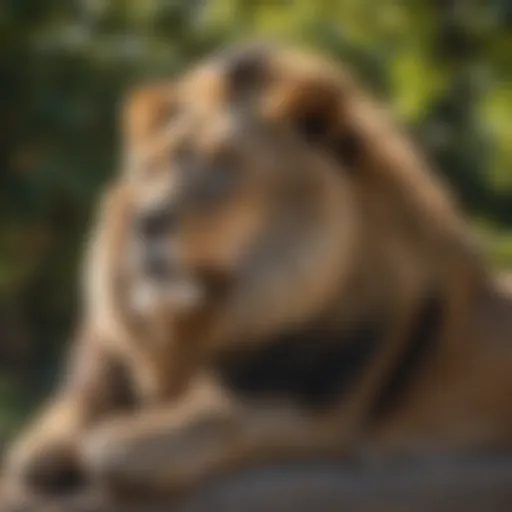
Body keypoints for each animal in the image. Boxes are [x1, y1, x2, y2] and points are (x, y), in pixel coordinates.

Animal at [4, 43, 512, 500]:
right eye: (153, 167)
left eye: (223, 167)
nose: (148, 221)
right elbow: (74, 405)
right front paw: (42, 448)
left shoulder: (320, 411)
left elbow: (223, 408)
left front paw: (127, 444)